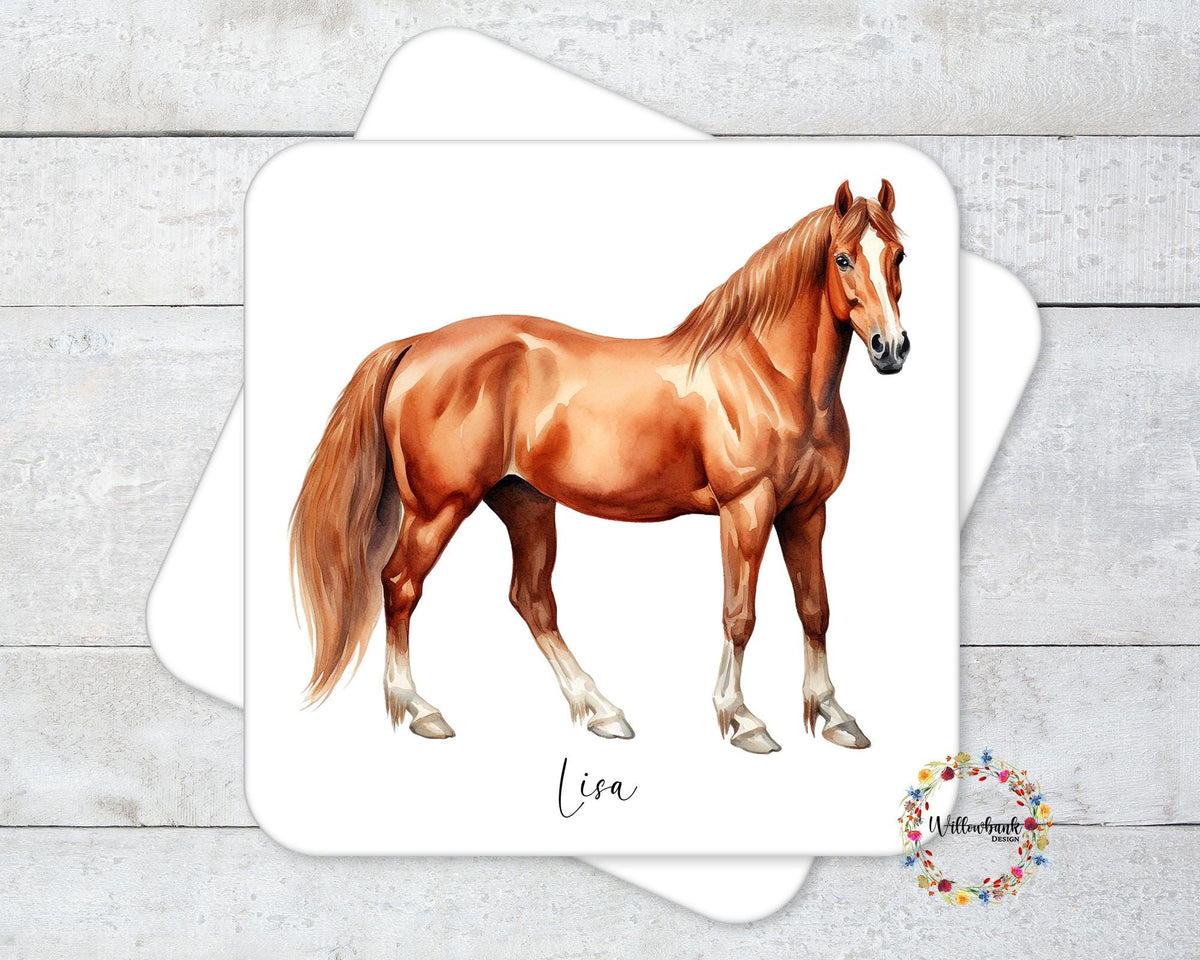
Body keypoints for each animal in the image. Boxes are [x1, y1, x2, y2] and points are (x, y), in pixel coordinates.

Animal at [289, 179, 909, 754]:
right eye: (843, 258)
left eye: (899, 254)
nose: (892, 348)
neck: (769, 375)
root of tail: (415, 345)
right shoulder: (746, 510)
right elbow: (740, 615)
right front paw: (743, 720)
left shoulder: (806, 511)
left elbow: (815, 608)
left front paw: (836, 716)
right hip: (438, 509)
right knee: (400, 585)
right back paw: (420, 710)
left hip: (524, 501)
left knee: (531, 599)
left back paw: (602, 710)